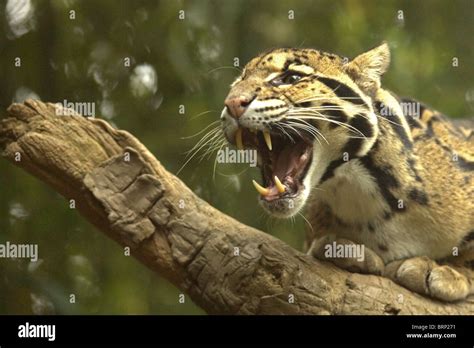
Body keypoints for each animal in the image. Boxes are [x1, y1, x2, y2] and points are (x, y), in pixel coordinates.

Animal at [220, 42, 474, 302]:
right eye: (237, 83)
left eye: (291, 78)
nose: (232, 103)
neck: (358, 191)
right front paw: (344, 248)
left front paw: (447, 270)